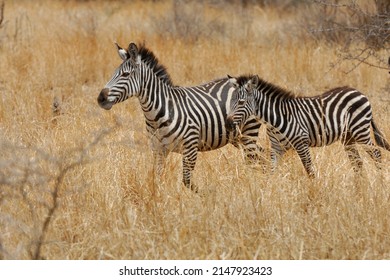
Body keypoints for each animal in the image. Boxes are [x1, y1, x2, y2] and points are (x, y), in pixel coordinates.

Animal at [96, 42, 266, 191]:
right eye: (113, 74)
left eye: (125, 74)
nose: (100, 99)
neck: (156, 114)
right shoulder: (158, 149)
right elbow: (157, 177)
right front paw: (158, 199)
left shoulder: (190, 147)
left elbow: (186, 180)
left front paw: (205, 198)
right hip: (237, 137)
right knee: (262, 155)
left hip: (248, 133)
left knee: (255, 160)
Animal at [225, 73, 390, 176]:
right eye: (231, 101)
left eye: (241, 102)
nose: (227, 124)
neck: (273, 120)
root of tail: (358, 91)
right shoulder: (277, 147)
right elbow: (271, 170)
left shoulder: (301, 143)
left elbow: (309, 170)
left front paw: (315, 191)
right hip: (347, 137)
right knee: (357, 162)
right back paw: (359, 186)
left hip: (360, 130)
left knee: (376, 153)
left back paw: (379, 182)